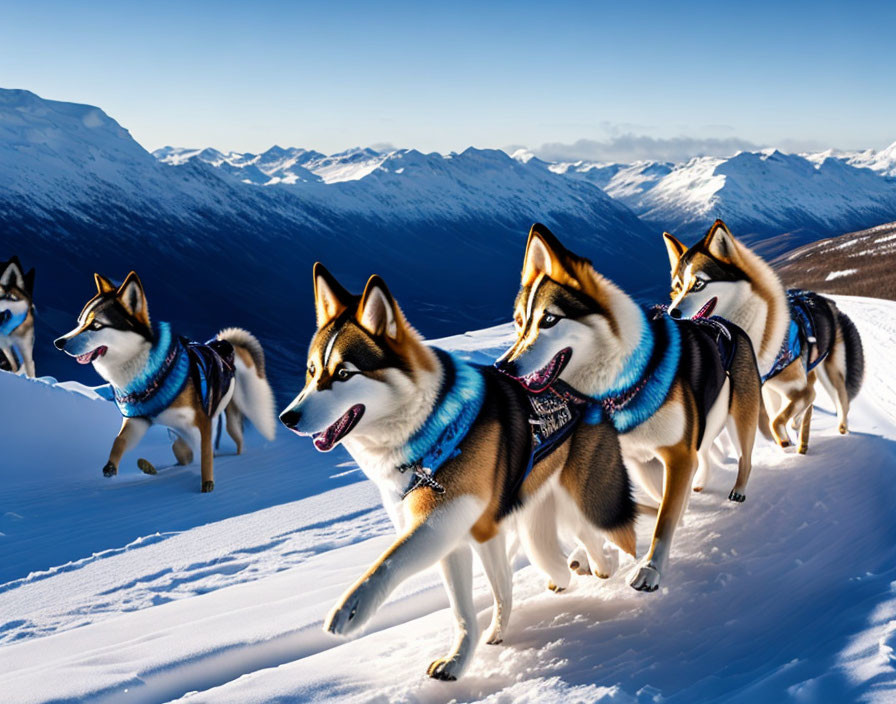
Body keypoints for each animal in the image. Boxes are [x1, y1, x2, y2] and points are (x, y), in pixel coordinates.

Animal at [53, 272, 276, 492]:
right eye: (80, 322)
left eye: (96, 325)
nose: (58, 343)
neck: (146, 374)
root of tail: (221, 345)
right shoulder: (139, 419)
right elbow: (119, 441)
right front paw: (110, 468)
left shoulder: (202, 422)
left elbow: (205, 458)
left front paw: (207, 485)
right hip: (180, 437)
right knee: (184, 453)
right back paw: (153, 467)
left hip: (228, 422)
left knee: (232, 444)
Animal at [280, 262, 636, 676]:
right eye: (311, 371)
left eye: (342, 373)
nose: (287, 417)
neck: (431, 427)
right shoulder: (457, 536)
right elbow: (466, 609)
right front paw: (460, 658)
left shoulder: (452, 522)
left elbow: (390, 562)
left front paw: (350, 610)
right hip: (544, 517)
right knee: (571, 551)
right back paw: (585, 566)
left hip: (593, 502)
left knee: (621, 535)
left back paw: (640, 571)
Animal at [494, 223, 760, 592]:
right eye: (519, 322)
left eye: (548, 320)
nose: (502, 367)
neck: (623, 382)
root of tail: (726, 323)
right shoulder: (640, 459)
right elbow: (647, 509)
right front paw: (591, 555)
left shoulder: (677, 455)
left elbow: (663, 520)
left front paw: (650, 570)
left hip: (740, 419)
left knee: (746, 457)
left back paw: (738, 490)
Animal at [664, 219, 860, 452]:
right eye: (678, 287)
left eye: (699, 284)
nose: (672, 313)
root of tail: (825, 301)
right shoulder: (771, 391)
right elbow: (775, 422)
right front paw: (785, 441)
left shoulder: (801, 390)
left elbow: (778, 420)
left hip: (829, 373)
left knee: (842, 400)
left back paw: (840, 427)